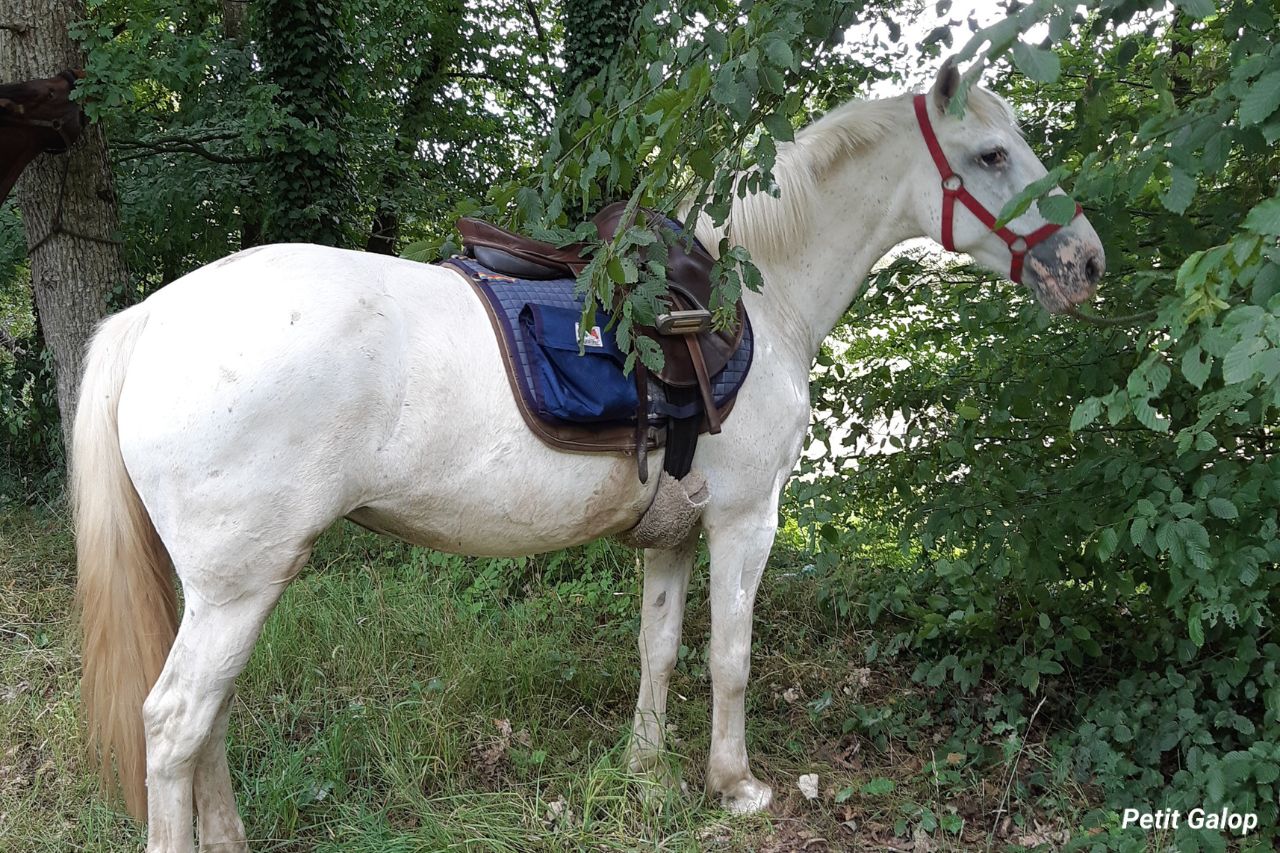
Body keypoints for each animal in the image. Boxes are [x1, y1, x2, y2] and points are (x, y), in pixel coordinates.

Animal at [73, 58, 1104, 852]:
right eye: (993, 155)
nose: (1087, 263)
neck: (758, 298)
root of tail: (154, 317)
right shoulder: (747, 521)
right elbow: (731, 654)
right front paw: (734, 783)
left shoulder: (675, 531)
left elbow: (659, 646)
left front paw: (645, 767)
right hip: (239, 587)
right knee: (174, 727)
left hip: (228, 588)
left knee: (209, 722)